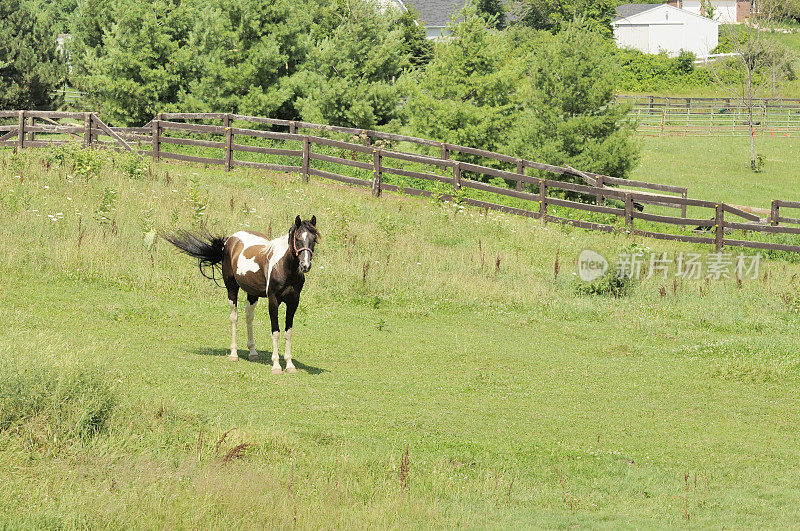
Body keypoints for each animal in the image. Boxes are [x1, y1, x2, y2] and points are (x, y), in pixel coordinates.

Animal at [166, 215, 318, 374]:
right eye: (298, 238)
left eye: (314, 239)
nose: (305, 266)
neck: (283, 266)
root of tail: (230, 240)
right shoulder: (273, 301)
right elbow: (275, 331)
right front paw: (276, 365)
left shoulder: (293, 302)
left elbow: (288, 332)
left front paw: (289, 365)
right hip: (232, 289)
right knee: (234, 317)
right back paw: (234, 354)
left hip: (252, 293)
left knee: (249, 317)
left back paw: (252, 352)